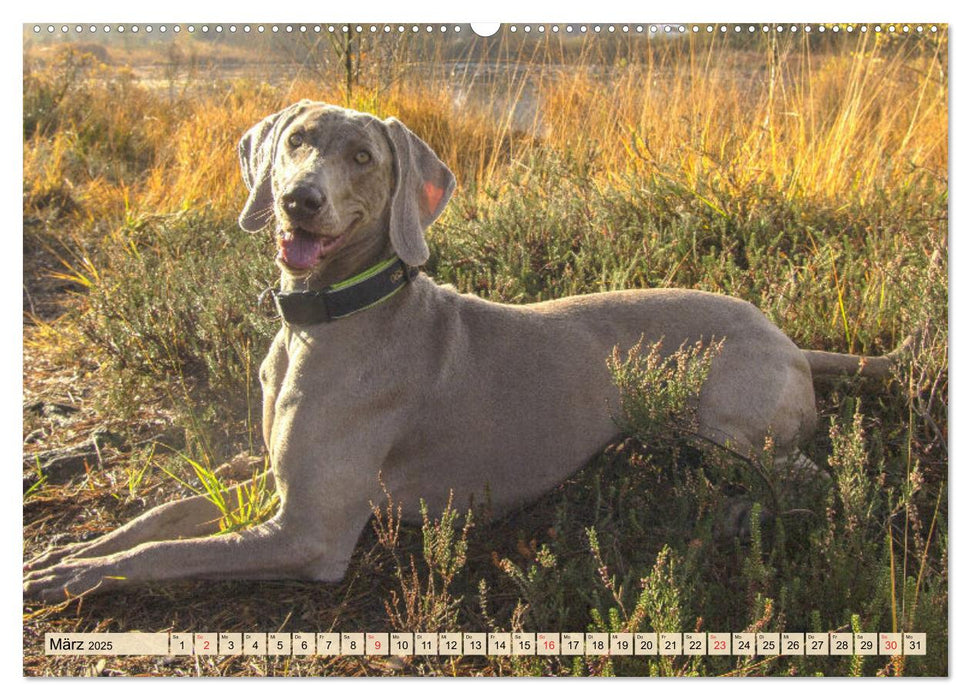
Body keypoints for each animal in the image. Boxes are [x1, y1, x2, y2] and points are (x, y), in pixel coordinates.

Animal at [24, 100, 904, 600]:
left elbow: (168, 552)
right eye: (298, 141)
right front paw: (75, 547)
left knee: (815, 478)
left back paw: (735, 515)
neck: (323, 319)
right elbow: (164, 516)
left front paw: (74, 576)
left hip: (721, 423)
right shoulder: (270, 482)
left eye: (362, 158)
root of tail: (787, 336)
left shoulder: (307, 531)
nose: (297, 200)